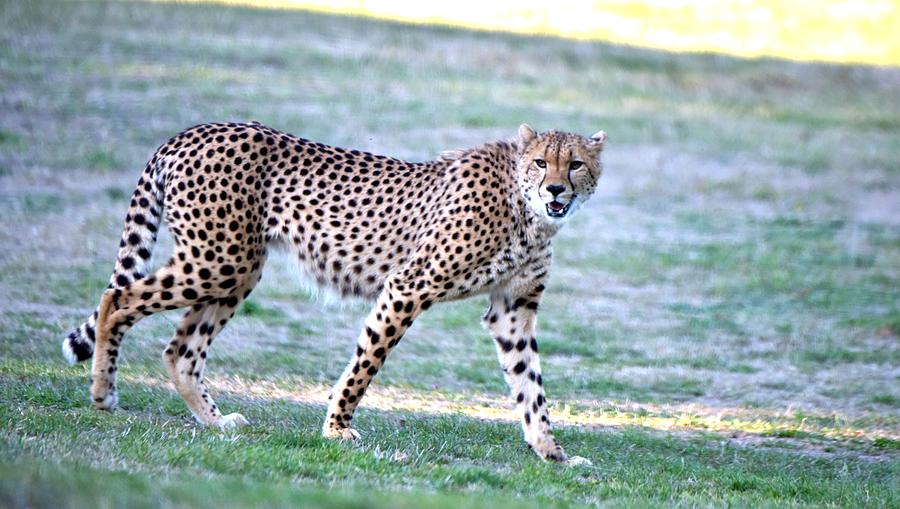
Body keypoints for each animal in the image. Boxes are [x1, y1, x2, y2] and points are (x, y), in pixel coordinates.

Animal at [63, 121, 608, 462]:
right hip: (217, 260)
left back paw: (215, 423)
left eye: (575, 164)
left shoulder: (513, 309)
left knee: (179, 350)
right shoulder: (410, 284)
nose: (556, 190)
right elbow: (366, 364)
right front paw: (337, 427)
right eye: (540, 162)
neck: (527, 211)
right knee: (118, 299)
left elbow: (530, 386)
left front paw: (552, 453)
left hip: (236, 270)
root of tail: (194, 131)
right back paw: (103, 394)